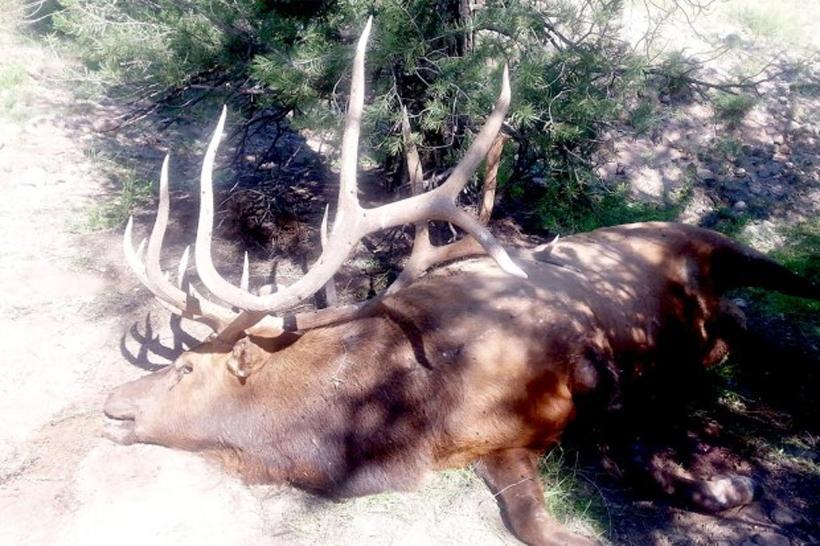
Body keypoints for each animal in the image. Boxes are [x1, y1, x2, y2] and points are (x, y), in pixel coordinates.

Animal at [104, 18, 820, 546]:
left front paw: (725, 482)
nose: (112, 399)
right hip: (721, 316)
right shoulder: (499, 447)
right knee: (748, 326)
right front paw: (717, 487)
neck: (412, 413)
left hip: (714, 243)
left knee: (786, 284)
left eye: (184, 370)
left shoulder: (577, 353)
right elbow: (537, 522)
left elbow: (626, 428)